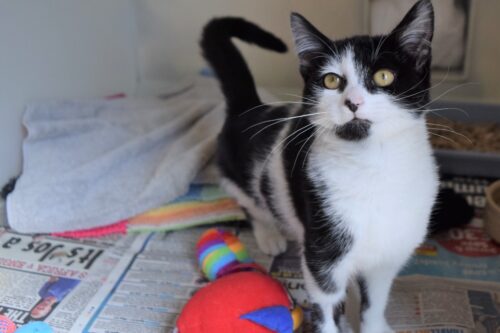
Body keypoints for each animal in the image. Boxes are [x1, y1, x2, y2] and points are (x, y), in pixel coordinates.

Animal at [202, 1, 438, 330]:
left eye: (384, 77)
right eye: (331, 80)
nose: (352, 102)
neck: (373, 166)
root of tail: (249, 107)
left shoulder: (388, 253)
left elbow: (375, 300)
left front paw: (373, 324)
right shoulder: (322, 253)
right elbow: (325, 303)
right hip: (236, 176)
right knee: (251, 203)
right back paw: (270, 235)